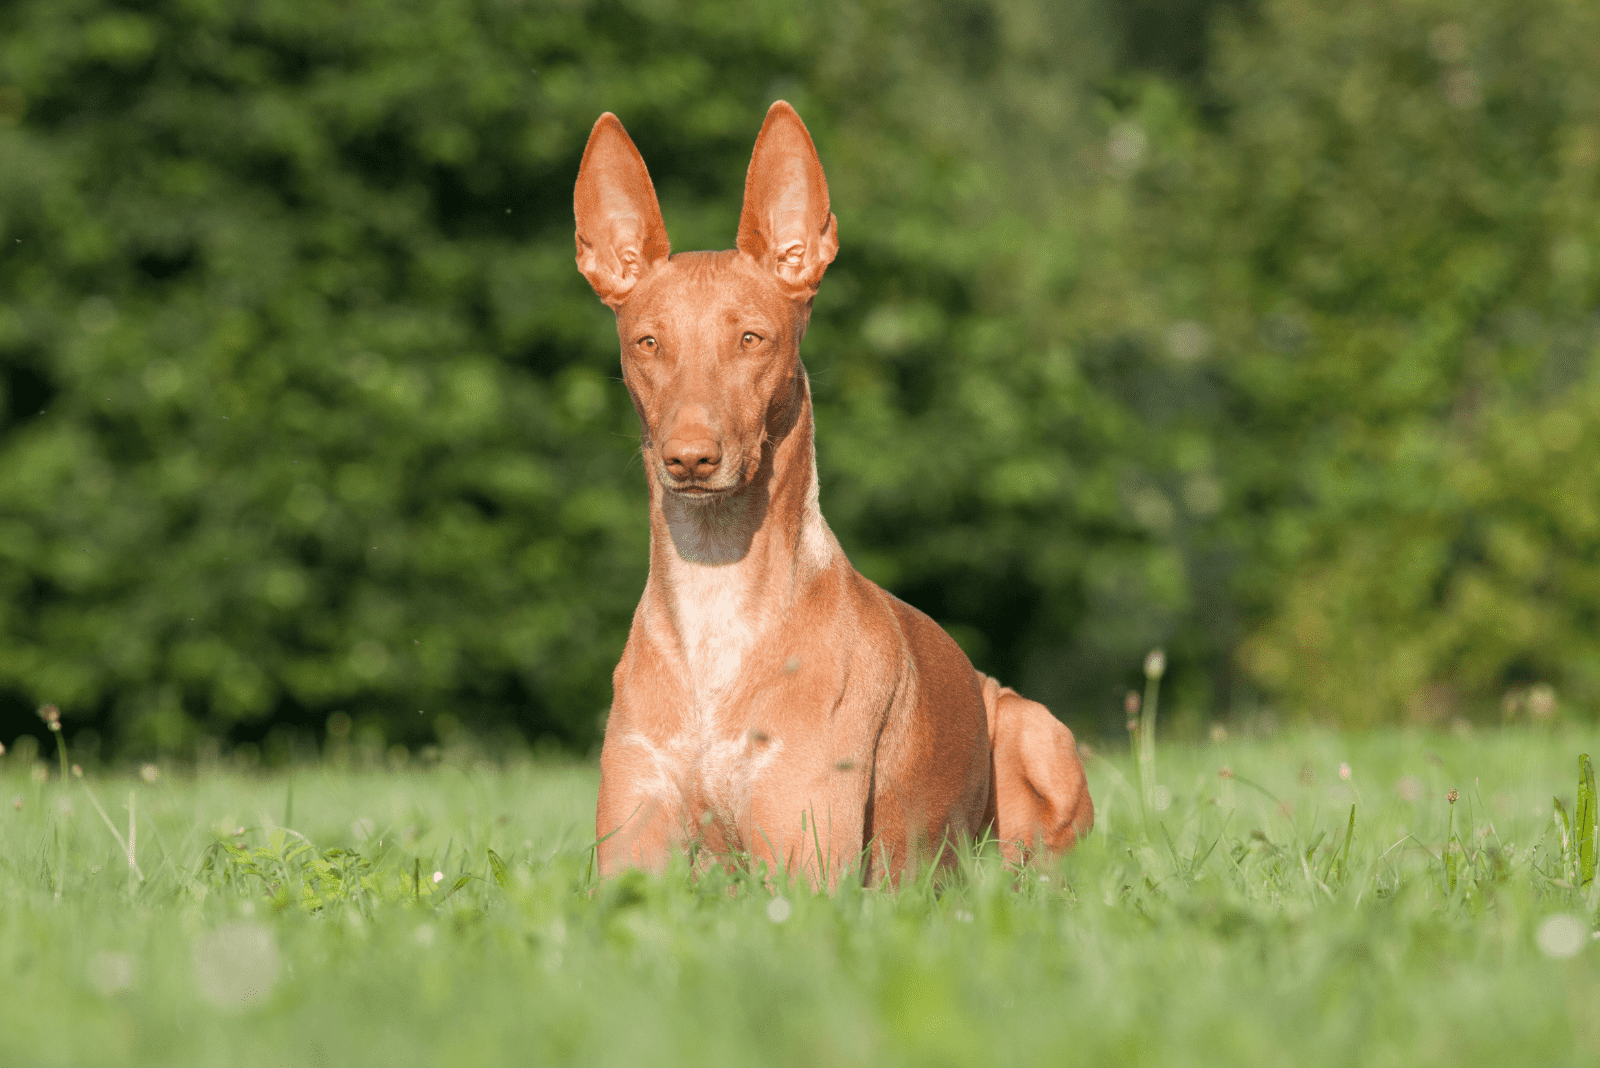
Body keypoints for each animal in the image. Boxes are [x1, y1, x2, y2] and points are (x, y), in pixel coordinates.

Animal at [572, 102, 1088, 882]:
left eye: (752, 339)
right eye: (648, 343)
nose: (689, 458)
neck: (716, 599)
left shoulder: (808, 870)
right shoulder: (629, 859)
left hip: (1034, 732)